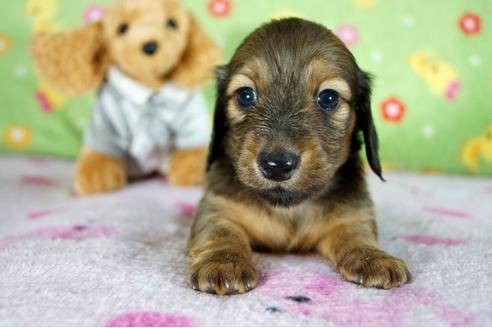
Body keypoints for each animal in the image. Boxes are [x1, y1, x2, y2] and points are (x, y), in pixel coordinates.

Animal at [188, 17, 412, 294]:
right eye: (245, 95)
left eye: (328, 98)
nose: (276, 165)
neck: (289, 208)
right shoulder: (217, 209)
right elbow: (220, 233)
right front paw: (223, 262)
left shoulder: (353, 214)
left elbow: (357, 234)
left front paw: (374, 257)